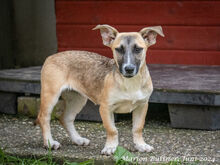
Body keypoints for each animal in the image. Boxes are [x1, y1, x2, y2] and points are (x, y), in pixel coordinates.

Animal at [36, 23, 163, 155]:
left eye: (138, 49)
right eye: (118, 49)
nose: (128, 69)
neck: (130, 82)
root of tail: (51, 56)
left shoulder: (142, 105)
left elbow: (138, 128)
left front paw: (141, 145)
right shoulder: (105, 108)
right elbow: (112, 129)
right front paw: (110, 147)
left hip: (77, 99)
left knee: (66, 118)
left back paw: (78, 140)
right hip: (50, 95)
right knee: (43, 117)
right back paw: (49, 143)